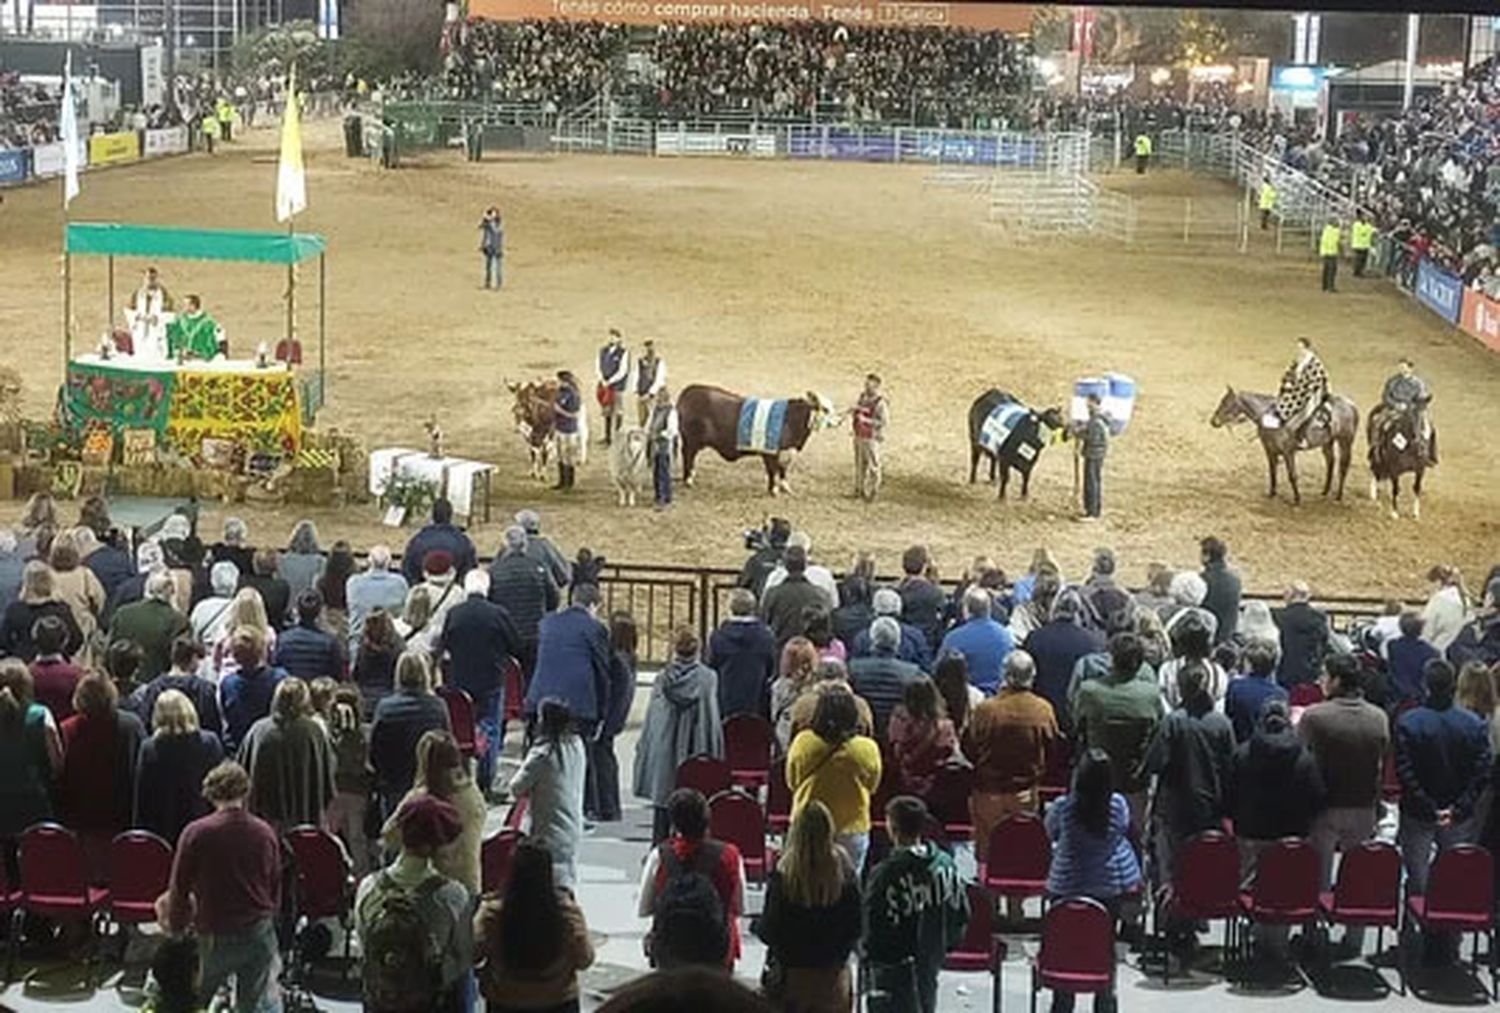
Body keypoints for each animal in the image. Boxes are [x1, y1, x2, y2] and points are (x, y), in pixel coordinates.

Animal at [678, 384, 840, 498]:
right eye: (825, 409)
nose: (839, 421)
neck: (791, 420)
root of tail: (689, 391)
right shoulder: (770, 453)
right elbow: (772, 471)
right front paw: (773, 490)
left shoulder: (786, 452)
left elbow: (783, 470)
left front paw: (785, 488)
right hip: (690, 441)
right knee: (688, 456)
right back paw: (688, 480)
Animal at [1206, 387, 1362, 504]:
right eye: (1222, 401)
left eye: (1227, 403)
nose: (1213, 421)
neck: (1272, 420)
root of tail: (1351, 405)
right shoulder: (1270, 451)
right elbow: (1272, 472)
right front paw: (1272, 493)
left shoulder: (1288, 452)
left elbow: (1292, 475)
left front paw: (1297, 500)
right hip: (1328, 442)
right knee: (1330, 462)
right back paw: (1324, 491)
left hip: (1345, 442)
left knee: (1343, 466)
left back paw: (1338, 496)